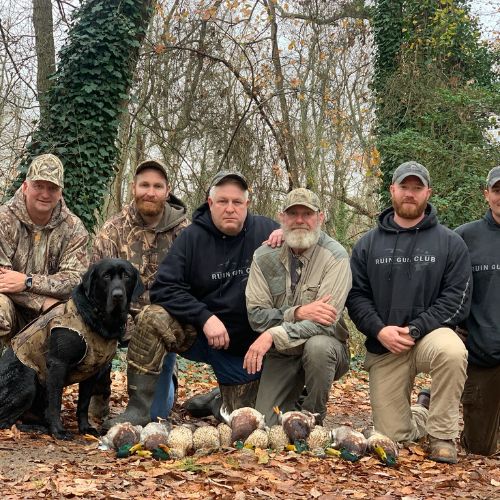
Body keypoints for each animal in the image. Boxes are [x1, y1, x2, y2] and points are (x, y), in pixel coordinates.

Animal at [0, 260, 144, 440]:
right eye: (106, 276)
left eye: (126, 276)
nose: (118, 295)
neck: (100, 319)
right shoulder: (57, 365)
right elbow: (55, 402)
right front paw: (58, 431)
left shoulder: (91, 371)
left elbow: (83, 403)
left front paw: (85, 427)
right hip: (29, 378)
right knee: (5, 422)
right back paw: (37, 429)